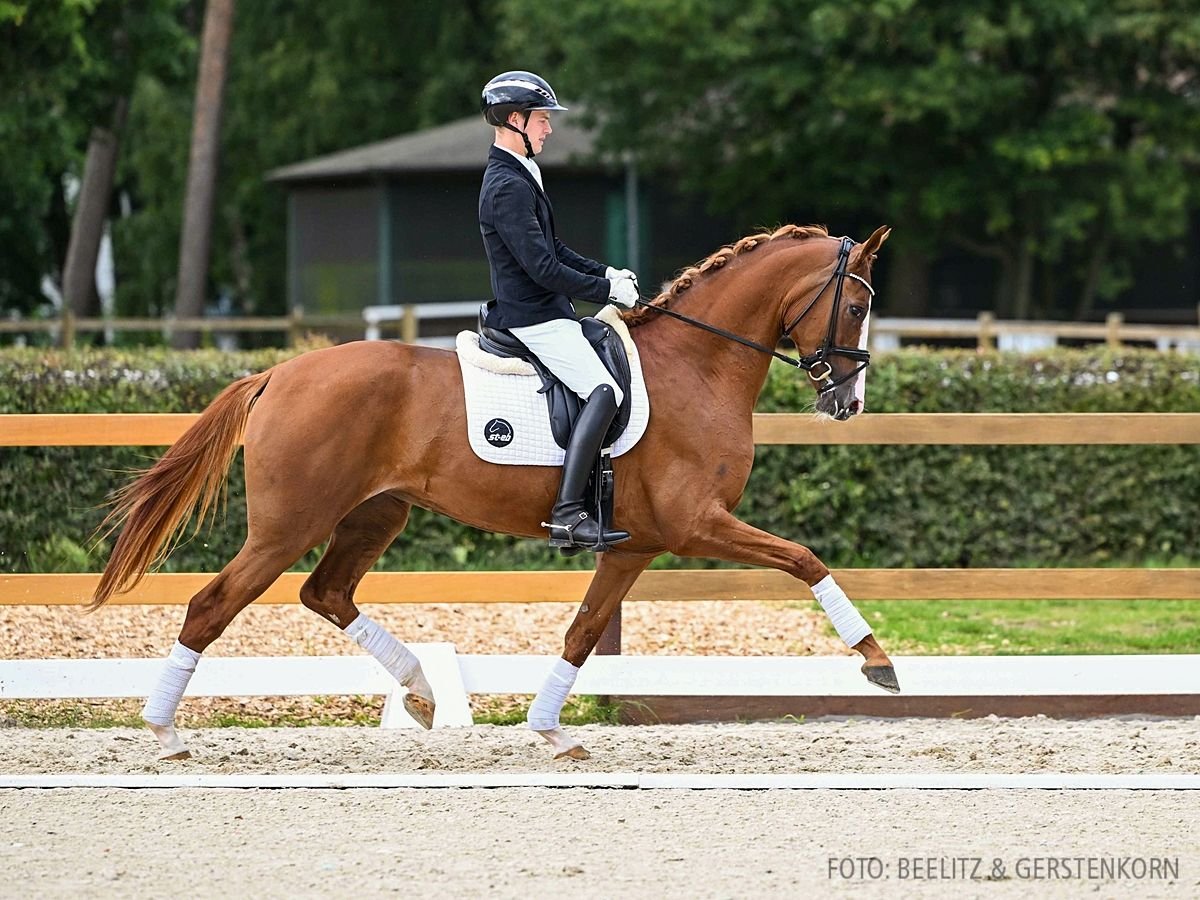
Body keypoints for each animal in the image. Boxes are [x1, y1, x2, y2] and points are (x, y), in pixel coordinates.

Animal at [93, 224, 897, 763]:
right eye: (857, 309)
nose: (849, 403)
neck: (698, 364)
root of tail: (278, 372)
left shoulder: (636, 545)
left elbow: (582, 631)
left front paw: (549, 732)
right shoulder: (696, 523)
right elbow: (804, 558)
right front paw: (876, 660)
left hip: (374, 515)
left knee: (325, 593)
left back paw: (421, 689)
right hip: (288, 526)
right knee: (213, 604)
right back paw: (165, 734)